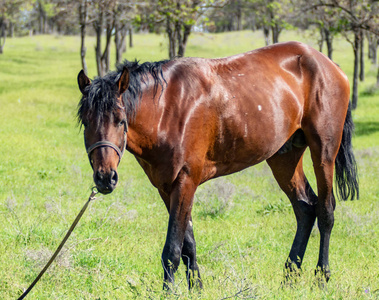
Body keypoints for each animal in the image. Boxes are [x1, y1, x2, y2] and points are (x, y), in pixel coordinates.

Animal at [76, 41, 360, 290]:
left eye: (120, 120)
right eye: (86, 121)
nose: (105, 178)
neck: (168, 109)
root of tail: (329, 64)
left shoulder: (186, 182)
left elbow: (172, 250)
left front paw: (170, 291)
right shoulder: (166, 187)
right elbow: (188, 244)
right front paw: (197, 288)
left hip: (323, 152)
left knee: (325, 211)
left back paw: (321, 277)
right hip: (284, 157)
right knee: (305, 208)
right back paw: (289, 278)